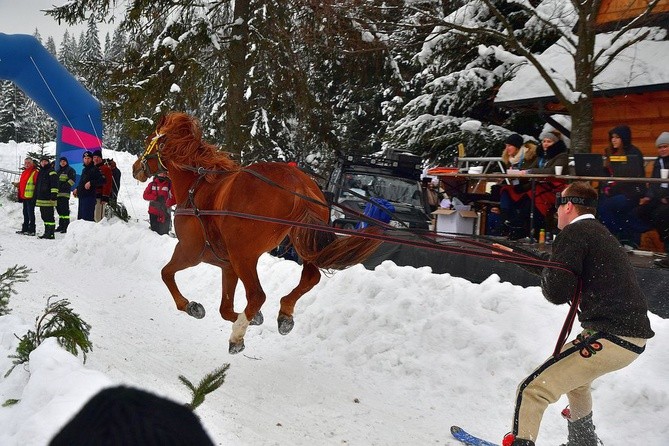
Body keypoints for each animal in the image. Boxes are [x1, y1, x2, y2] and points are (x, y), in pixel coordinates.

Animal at [132, 112, 380, 356]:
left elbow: (166, 273)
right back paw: (284, 315)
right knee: (310, 277)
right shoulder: (227, 266)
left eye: (148, 140)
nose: (136, 168)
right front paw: (253, 318)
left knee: (257, 295)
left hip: (244, 256)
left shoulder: (189, 251)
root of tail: (296, 181)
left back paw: (237, 337)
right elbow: (225, 308)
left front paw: (191, 306)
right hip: (298, 241)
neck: (196, 186)